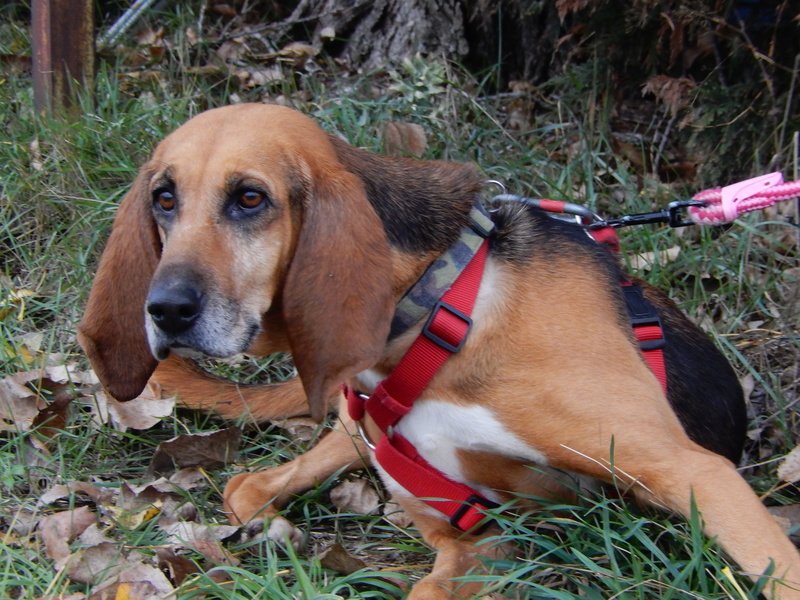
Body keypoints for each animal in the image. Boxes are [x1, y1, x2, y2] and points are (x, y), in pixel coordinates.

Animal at [78, 104, 800, 600]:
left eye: (250, 198)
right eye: (163, 198)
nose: (165, 310)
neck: (441, 310)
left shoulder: (693, 472)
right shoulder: (474, 532)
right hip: (353, 434)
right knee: (247, 482)